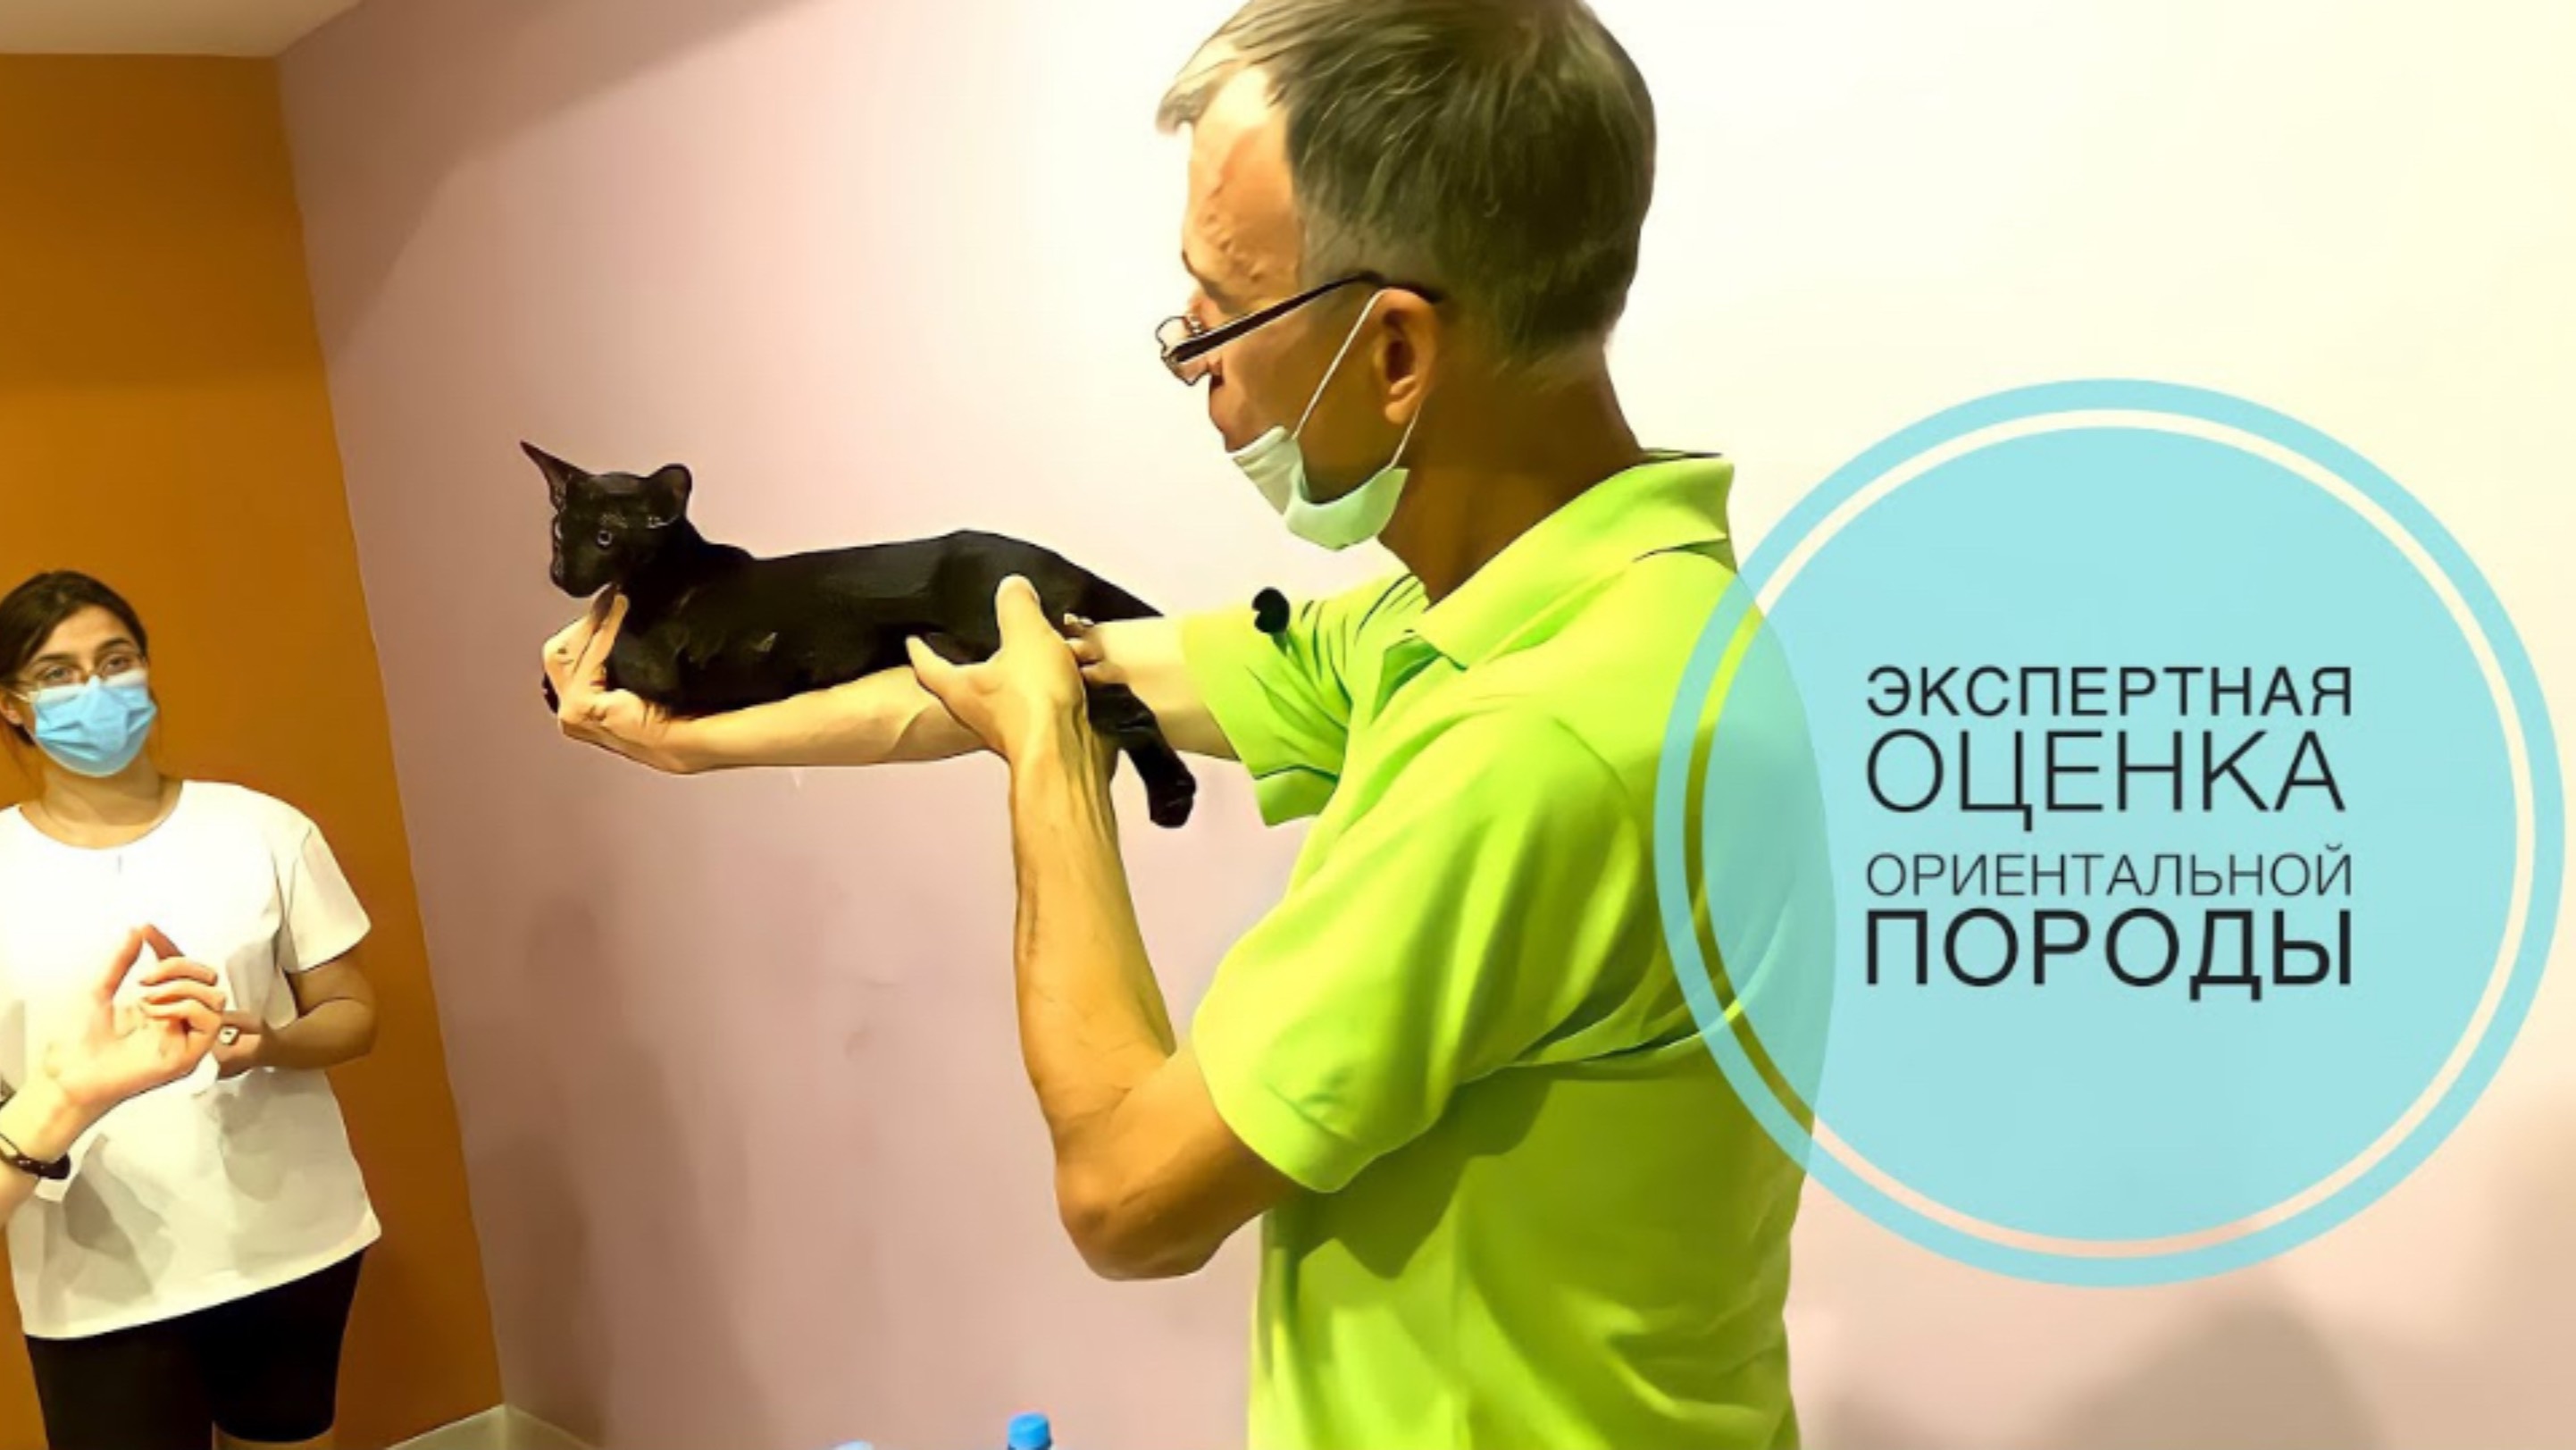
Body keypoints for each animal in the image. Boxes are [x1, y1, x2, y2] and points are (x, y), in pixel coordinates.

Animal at [528, 443, 1196, 827]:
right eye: (560, 530)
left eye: (607, 537)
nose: (560, 573)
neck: (663, 580)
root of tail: (1057, 559)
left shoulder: (666, 664)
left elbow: (621, 656)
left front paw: (559, 681)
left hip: (1012, 634)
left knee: (1125, 704)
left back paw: (1173, 795)